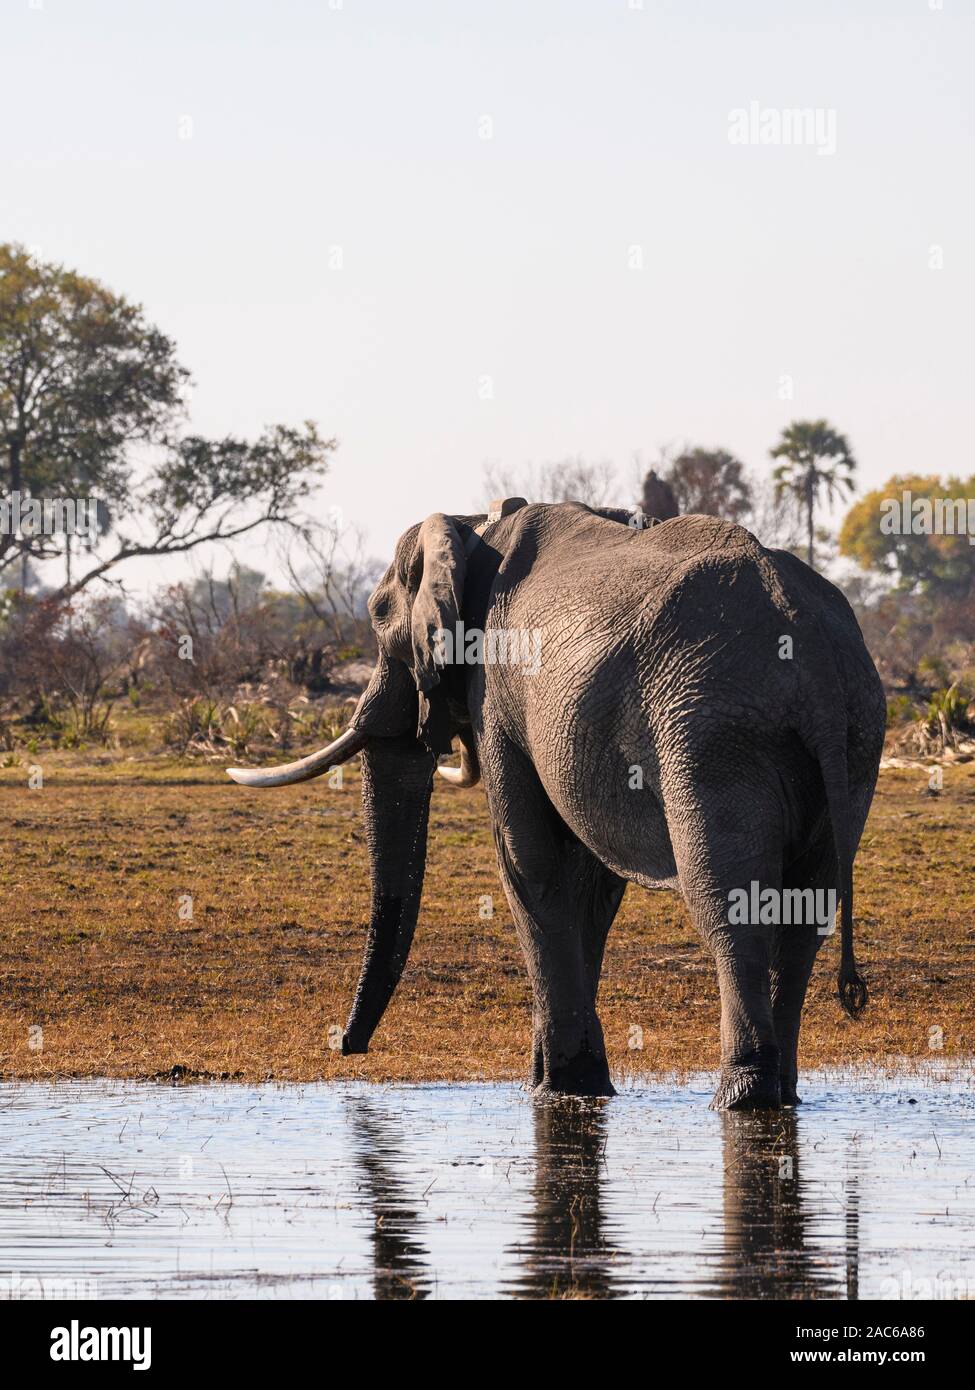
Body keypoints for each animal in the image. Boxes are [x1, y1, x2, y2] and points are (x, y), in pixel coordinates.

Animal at [228, 500, 885, 1111]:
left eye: (377, 617)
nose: (346, 1046)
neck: (473, 525)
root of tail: (815, 658)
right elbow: (588, 885)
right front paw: (578, 1084)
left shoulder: (497, 694)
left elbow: (531, 864)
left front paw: (555, 1089)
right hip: (855, 740)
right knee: (807, 912)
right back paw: (781, 1096)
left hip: (714, 732)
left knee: (727, 903)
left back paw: (740, 1098)